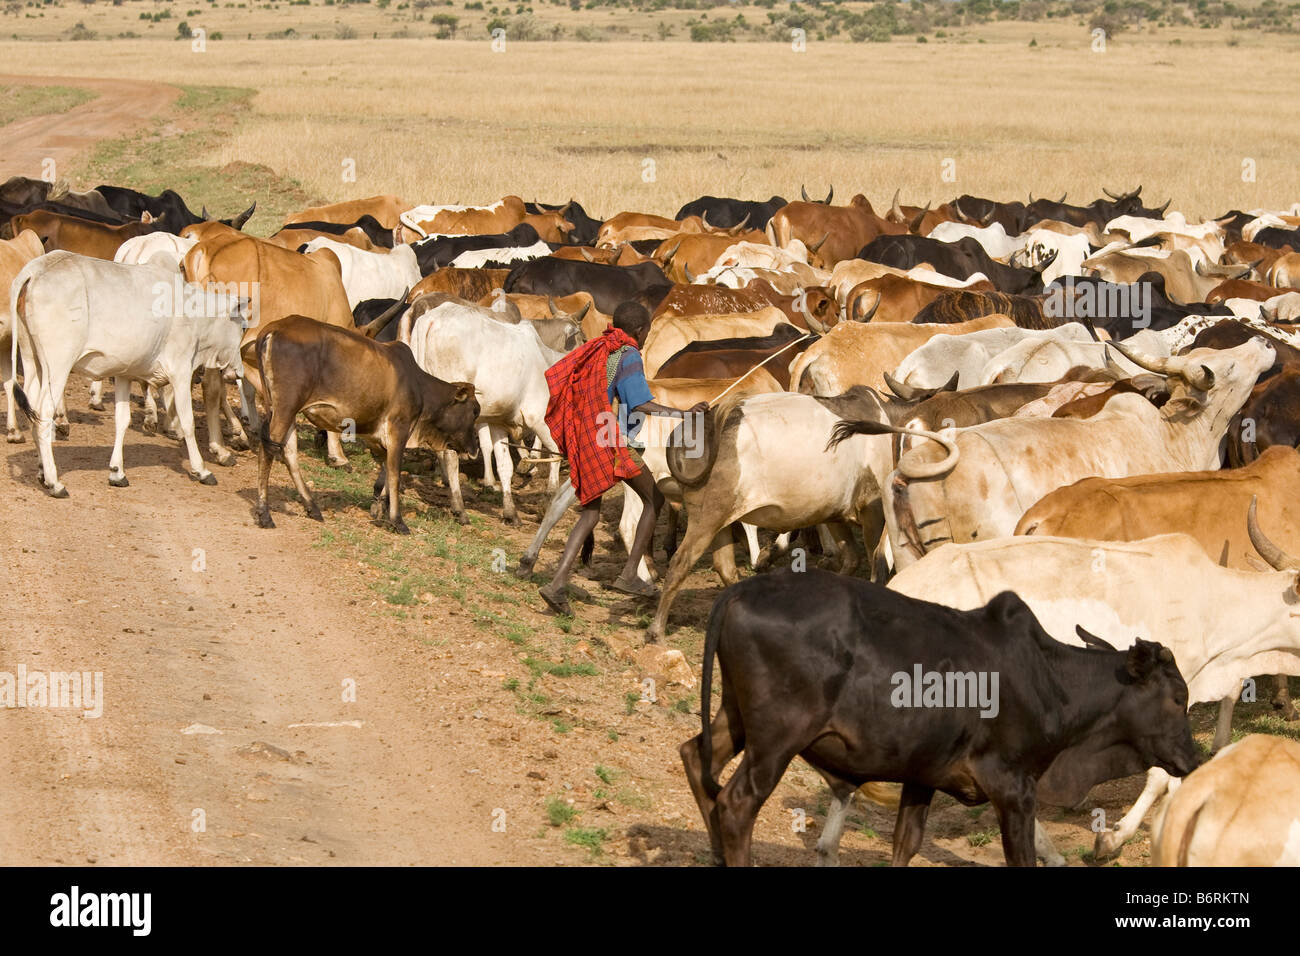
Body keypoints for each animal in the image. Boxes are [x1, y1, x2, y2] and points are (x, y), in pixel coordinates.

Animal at [7, 251, 246, 496]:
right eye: (242, 327)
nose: (238, 371)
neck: (195, 314)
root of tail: (36, 269)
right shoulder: (180, 372)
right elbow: (187, 422)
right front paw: (202, 470)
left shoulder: (124, 374)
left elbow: (122, 420)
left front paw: (117, 472)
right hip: (58, 365)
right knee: (44, 415)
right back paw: (54, 482)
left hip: (32, 360)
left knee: (32, 410)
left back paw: (42, 473)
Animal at [250, 317, 480, 535]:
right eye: (475, 411)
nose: (475, 449)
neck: (419, 387)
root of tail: (274, 328)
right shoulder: (399, 429)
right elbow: (395, 474)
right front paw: (397, 520)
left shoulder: (375, 435)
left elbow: (385, 470)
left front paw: (380, 506)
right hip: (286, 407)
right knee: (267, 450)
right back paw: (265, 514)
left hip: (284, 410)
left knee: (289, 454)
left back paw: (312, 507)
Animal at [681, 567, 1196, 868]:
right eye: (1177, 697)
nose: (1192, 759)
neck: (1050, 682)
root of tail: (741, 589)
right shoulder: (1014, 787)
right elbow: (1023, 857)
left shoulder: (922, 775)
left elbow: (905, 844)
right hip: (776, 740)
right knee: (736, 804)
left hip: (736, 717)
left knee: (695, 756)